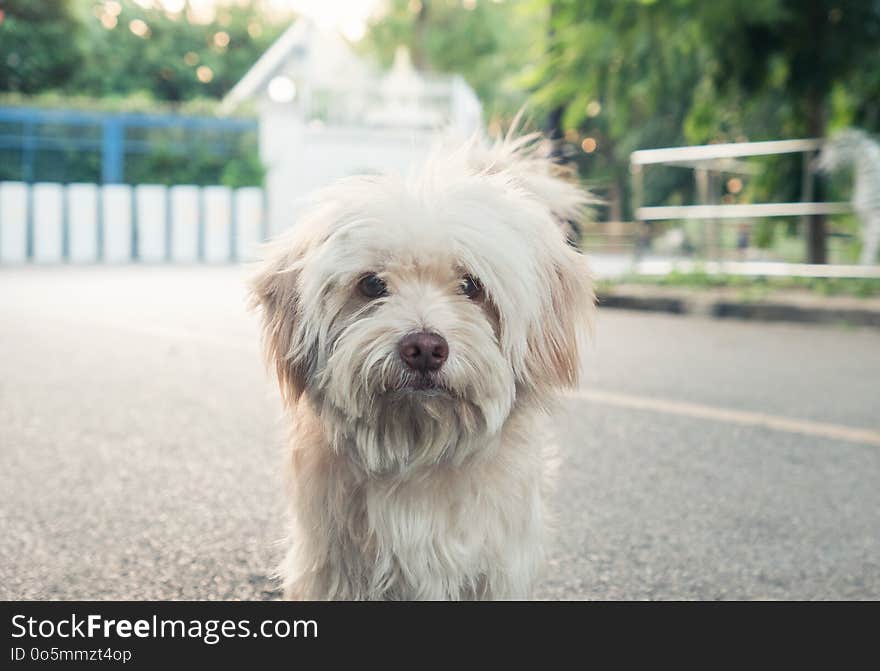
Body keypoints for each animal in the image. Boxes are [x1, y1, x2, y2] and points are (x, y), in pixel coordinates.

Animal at [253, 134, 600, 600]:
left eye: (471, 285)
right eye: (372, 284)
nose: (423, 348)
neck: (418, 448)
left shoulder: (498, 566)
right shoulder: (332, 568)